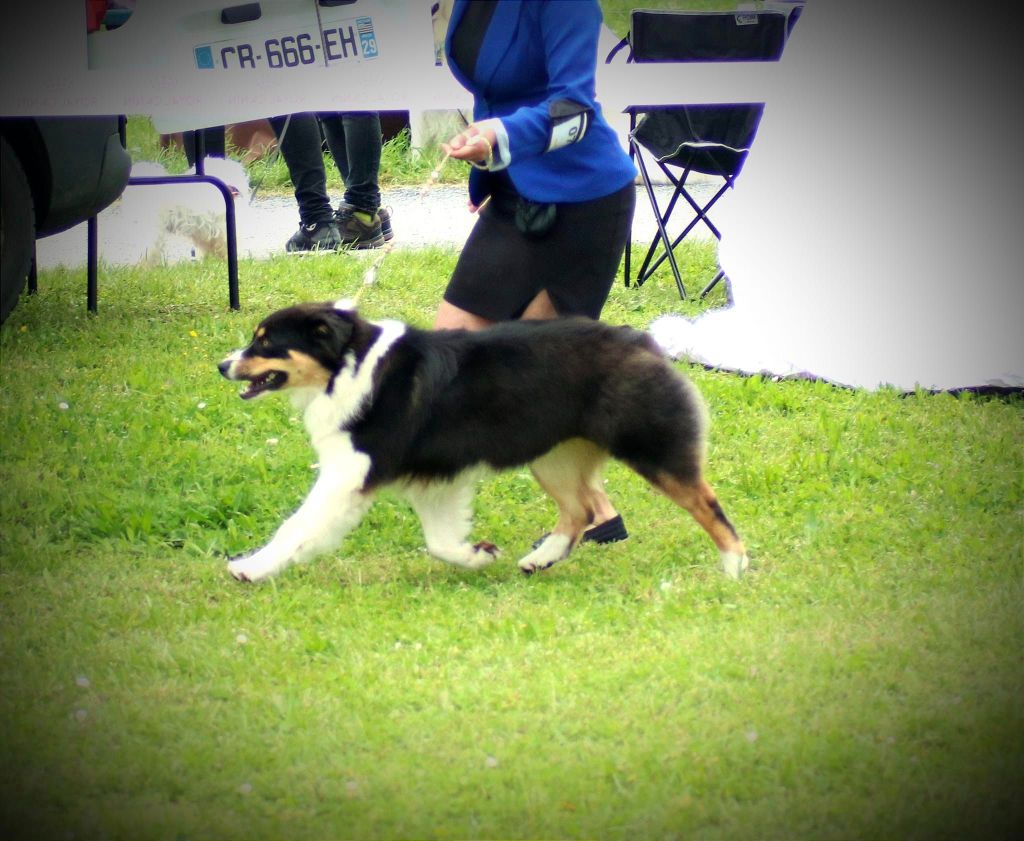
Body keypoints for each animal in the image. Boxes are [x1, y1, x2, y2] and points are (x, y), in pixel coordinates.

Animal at [216, 301, 749, 585]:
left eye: (265, 342)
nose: (222, 365)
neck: (346, 365)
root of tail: (642, 341)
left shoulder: (350, 473)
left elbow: (297, 526)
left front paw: (250, 567)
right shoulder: (433, 479)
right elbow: (440, 542)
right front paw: (478, 555)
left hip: (651, 449)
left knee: (706, 502)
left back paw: (734, 567)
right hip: (552, 457)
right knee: (578, 511)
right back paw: (540, 558)